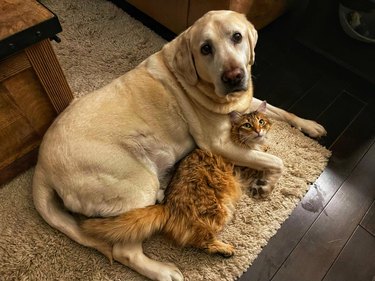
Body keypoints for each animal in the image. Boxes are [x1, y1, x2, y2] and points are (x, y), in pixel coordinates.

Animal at [81, 100, 274, 256]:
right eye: (247, 125)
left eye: (261, 122)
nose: (259, 131)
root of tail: (167, 205)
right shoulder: (243, 165)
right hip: (218, 211)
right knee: (202, 241)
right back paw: (224, 248)